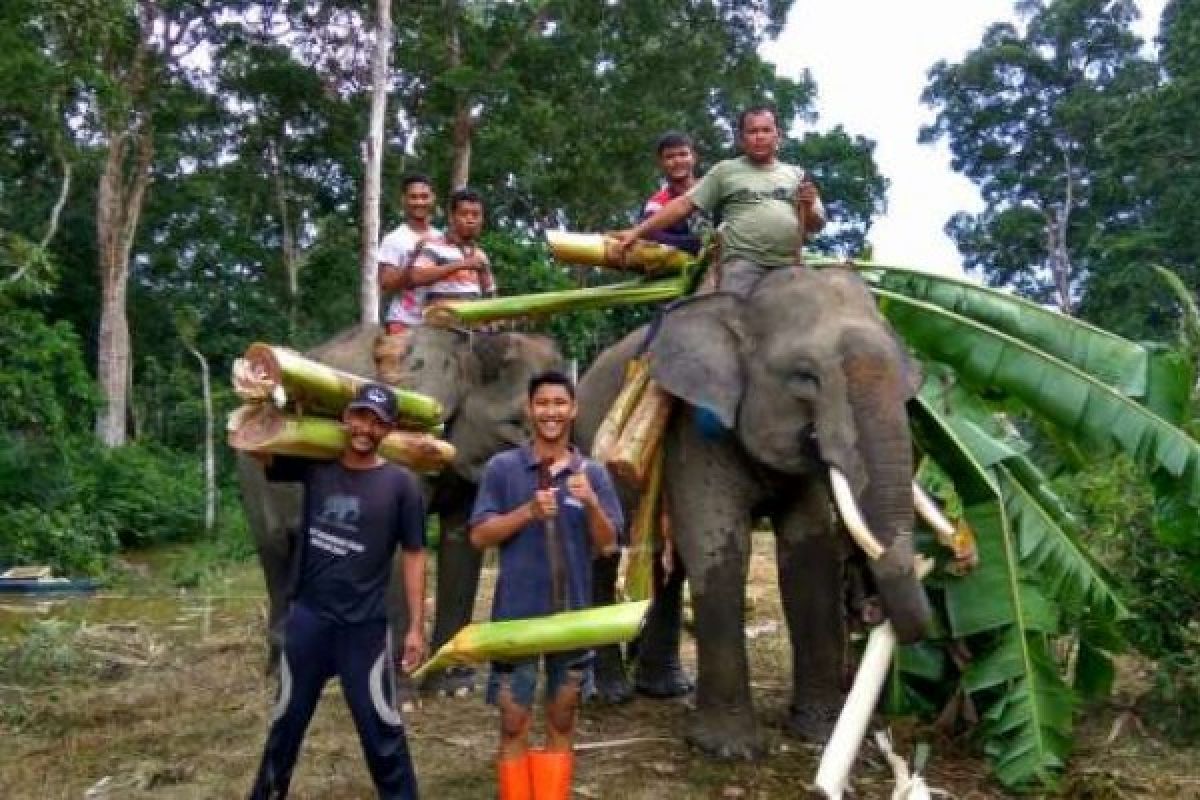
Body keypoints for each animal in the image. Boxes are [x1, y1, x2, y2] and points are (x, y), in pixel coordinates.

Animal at [241, 323, 568, 695]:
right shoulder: (399, 441)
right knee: (275, 549)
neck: (462, 345)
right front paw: (403, 694)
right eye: (514, 422)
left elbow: (462, 542)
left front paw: (453, 687)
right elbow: (401, 546)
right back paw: (278, 671)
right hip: (253, 474)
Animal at [576, 267, 931, 758]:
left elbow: (810, 553)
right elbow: (718, 545)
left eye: (912, 384)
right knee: (606, 550)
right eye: (804, 377)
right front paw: (729, 751)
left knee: (671, 565)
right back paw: (611, 694)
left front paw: (817, 734)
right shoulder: (695, 425)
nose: (870, 608)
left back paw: (666, 690)